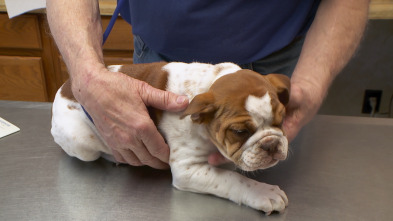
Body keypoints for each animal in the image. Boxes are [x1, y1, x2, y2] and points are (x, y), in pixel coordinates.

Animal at [50, 61, 290, 215]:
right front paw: (261, 192)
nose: (271, 144)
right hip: (81, 142)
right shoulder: (187, 170)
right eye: (240, 132)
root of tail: (65, 87)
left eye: (281, 120)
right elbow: (233, 179)